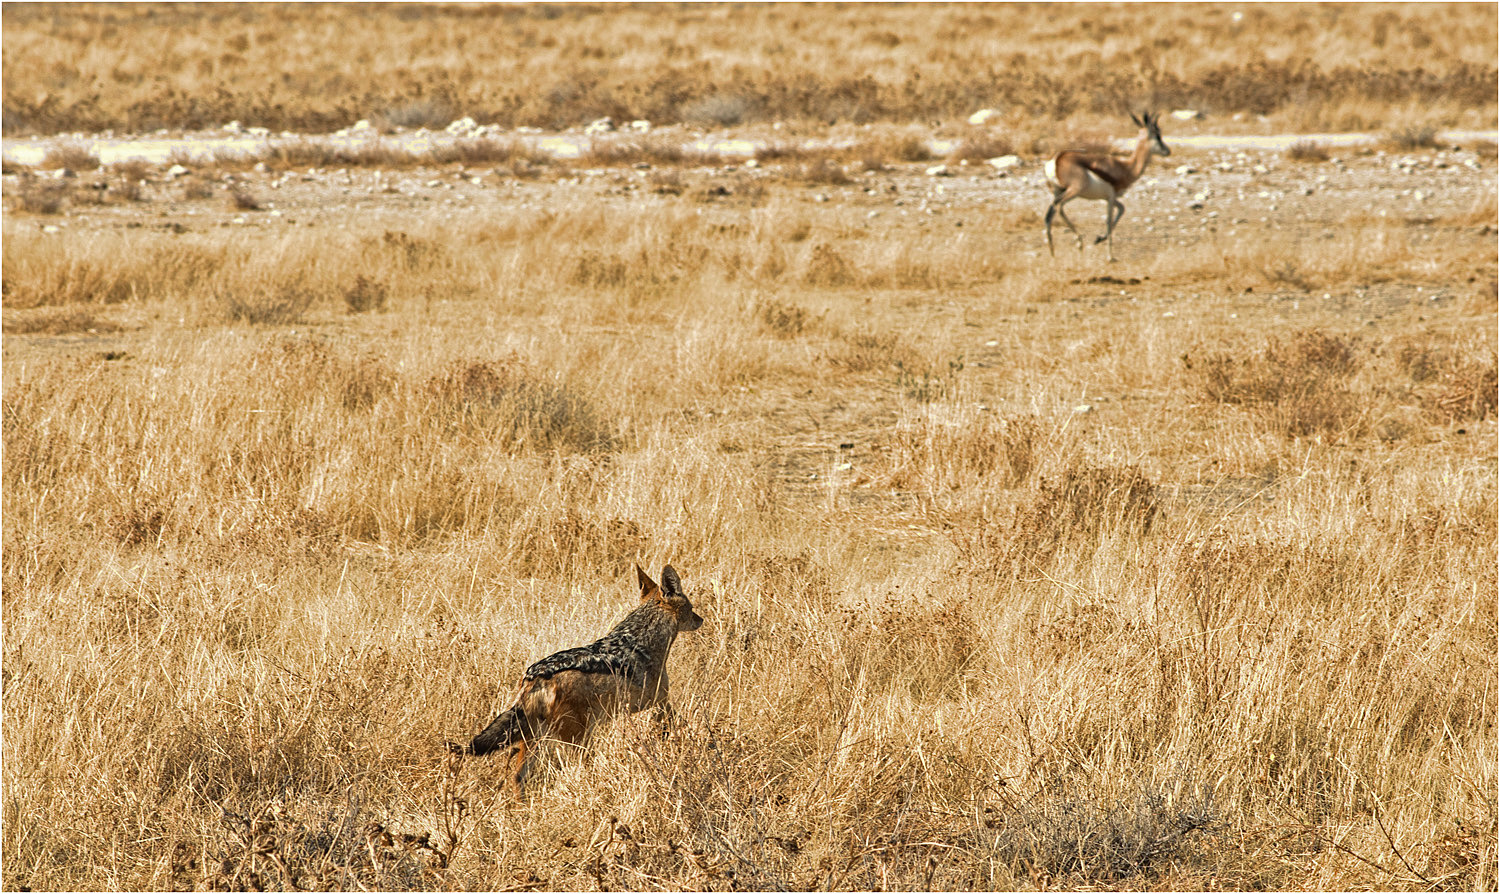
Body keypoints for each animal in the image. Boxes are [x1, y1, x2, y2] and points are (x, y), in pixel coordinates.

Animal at [1044, 111, 1170, 262]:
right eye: (1157, 135)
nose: (1167, 151)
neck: (1126, 167)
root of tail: (1056, 159)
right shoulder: (1110, 197)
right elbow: (1109, 221)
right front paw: (1110, 256)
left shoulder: (1110, 198)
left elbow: (1122, 209)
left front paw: (1099, 239)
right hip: (1074, 191)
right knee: (1059, 206)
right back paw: (1079, 242)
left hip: (1058, 191)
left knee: (1049, 213)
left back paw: (1052, 253)